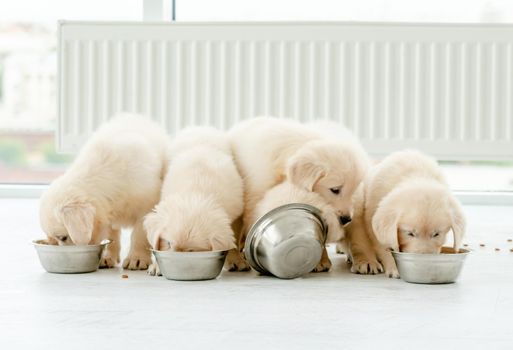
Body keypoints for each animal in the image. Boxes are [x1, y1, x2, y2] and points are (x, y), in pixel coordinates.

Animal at [40, 113, 168, 270]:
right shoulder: (108, 213)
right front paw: (108, 256)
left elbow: (139, 234)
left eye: (63, 237)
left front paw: (136, 258)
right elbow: (111, 236)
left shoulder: (146, 207)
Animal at [142, 128, 242, 276]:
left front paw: (236, 259)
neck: (196, 194)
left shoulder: (236, 212)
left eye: (191, 251)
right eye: (168, 243)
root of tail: (199, 128)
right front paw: (157, 266)